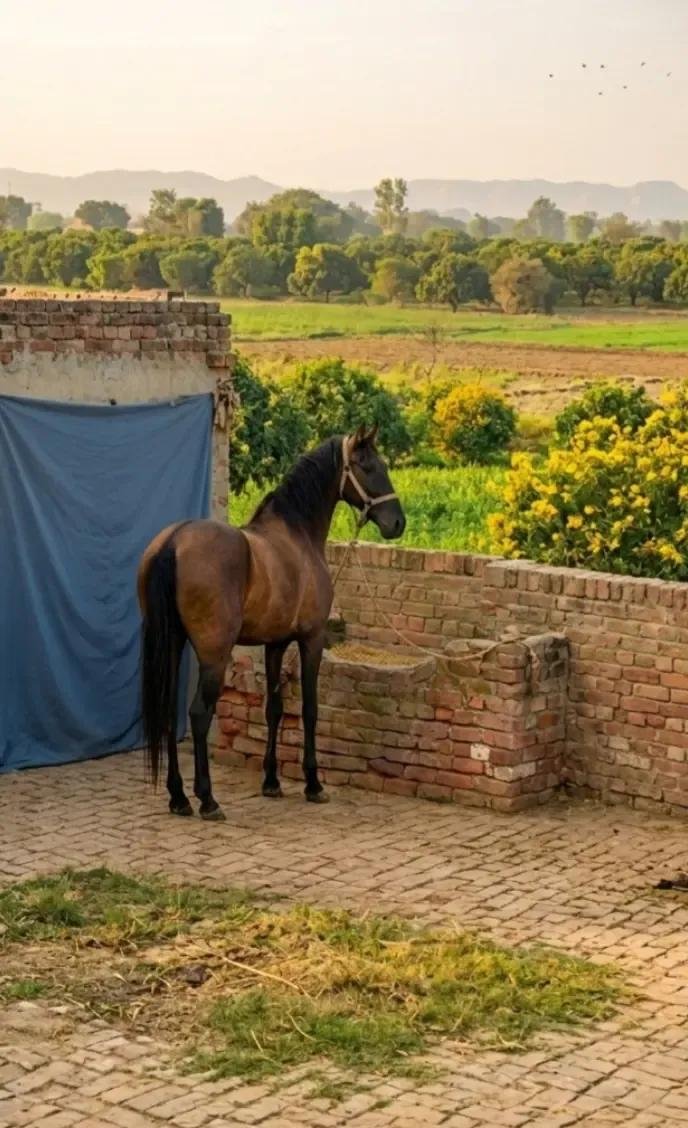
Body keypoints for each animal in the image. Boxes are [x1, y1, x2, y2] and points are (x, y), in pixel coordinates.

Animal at [137, 426, 406, 821]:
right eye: (369, 466)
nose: (397, 523)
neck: (297, 537)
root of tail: (174, 541)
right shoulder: (311, 639)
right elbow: (309, 709)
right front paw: (313, 784)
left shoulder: (275, 643)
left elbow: (274, 709)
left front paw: (271, 781)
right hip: (214, 654)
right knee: (200, 714)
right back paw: (207, 799)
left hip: (172, 645)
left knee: (170, 712)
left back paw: (178, 797)